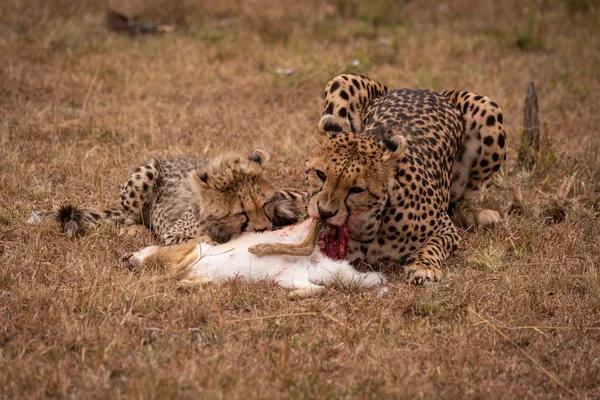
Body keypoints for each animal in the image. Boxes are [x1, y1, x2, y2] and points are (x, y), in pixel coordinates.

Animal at [48, 149, 304, 244]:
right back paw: (134, 229)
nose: (262, 230)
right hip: (146, 173)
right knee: (130, 217)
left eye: (265, 203)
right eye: (241, 212)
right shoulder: (172, 235)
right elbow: (202, 240)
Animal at [304, 72, 506, 284]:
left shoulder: (445, 229)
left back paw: (476, 213)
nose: (324, 212)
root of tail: (424, 90)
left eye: (357, 189)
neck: (367, 224)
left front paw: (423, 267)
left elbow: (432, 247)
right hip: (341, 80)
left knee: (465, 195)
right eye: (320, 175)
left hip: (489, 111)